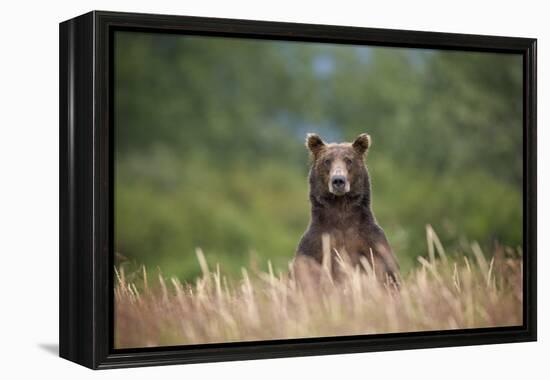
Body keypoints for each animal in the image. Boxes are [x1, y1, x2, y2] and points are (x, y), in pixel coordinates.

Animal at [298, 132, 402, 284]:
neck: (341, 207)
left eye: (349, 160)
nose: (338, 180)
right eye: (327, 161)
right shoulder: (314, 247)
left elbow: (388, 274)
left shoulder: (372, 243)